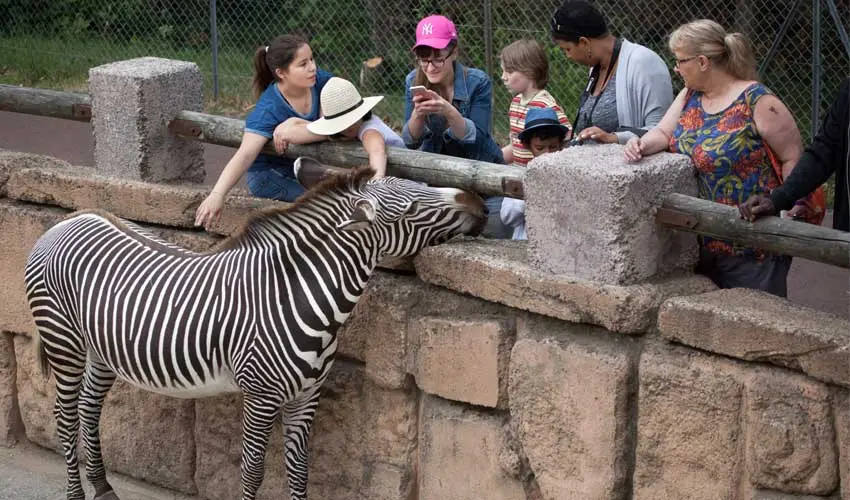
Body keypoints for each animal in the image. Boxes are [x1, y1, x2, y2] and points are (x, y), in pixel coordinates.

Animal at [24, 165, 486, 500]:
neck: (296, 298)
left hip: (102, 350)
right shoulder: (261, 395)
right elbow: (252, 469)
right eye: (409, 208)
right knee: (64, 416)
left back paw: (103, 488)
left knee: (88, 408)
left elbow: (299, 470)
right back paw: (76, 494)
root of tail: (71, 218)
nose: (480, 202)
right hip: (63, 341)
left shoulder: (307, 395)